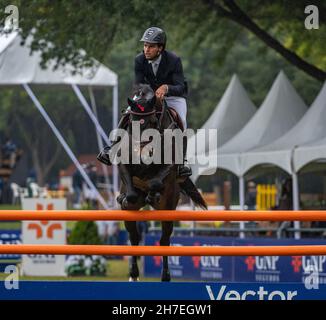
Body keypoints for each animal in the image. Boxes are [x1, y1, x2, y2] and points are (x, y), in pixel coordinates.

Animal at [113, 84, 208, 282]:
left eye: (151, 122)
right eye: (130, 122)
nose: (139, 154)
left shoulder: (170, 166)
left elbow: (156, 181)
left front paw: (152, 194)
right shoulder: (124, 165)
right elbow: (131, 193)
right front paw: (125, 198)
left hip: (169, 210)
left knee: (164, 241)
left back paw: (165, 276)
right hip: (131, 215)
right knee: (134, 238)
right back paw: (133, 275)